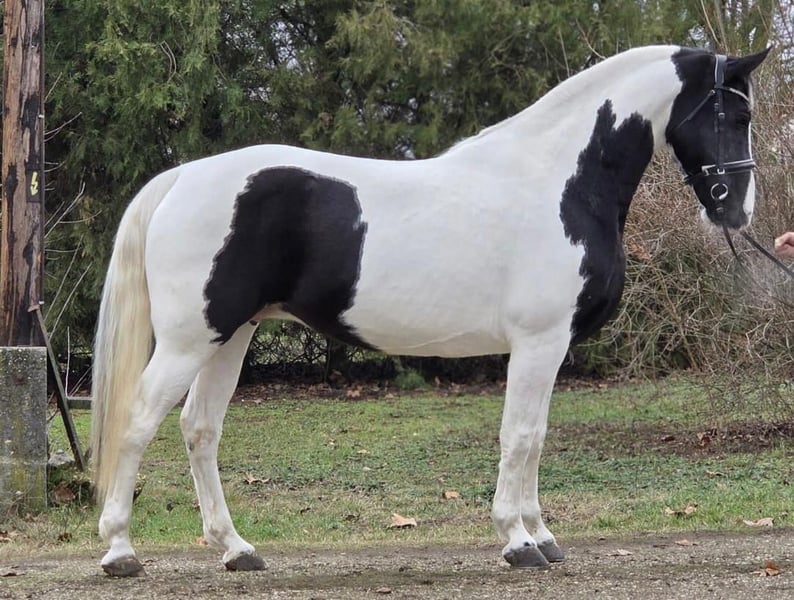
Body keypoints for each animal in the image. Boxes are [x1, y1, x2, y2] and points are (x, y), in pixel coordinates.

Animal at [91, 45, 770, 577]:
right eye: (737, 113)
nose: (738, 210)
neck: (560, 184)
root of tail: (182, 178)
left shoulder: (549, 349)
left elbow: (536, 436)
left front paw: (543, 536)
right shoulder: (538, 342)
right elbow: (520, 435)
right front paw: (518, 541)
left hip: (230, 337)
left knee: (199, 429)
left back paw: (236, 549)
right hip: (189, 340)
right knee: (139, 420)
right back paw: (120, 550)